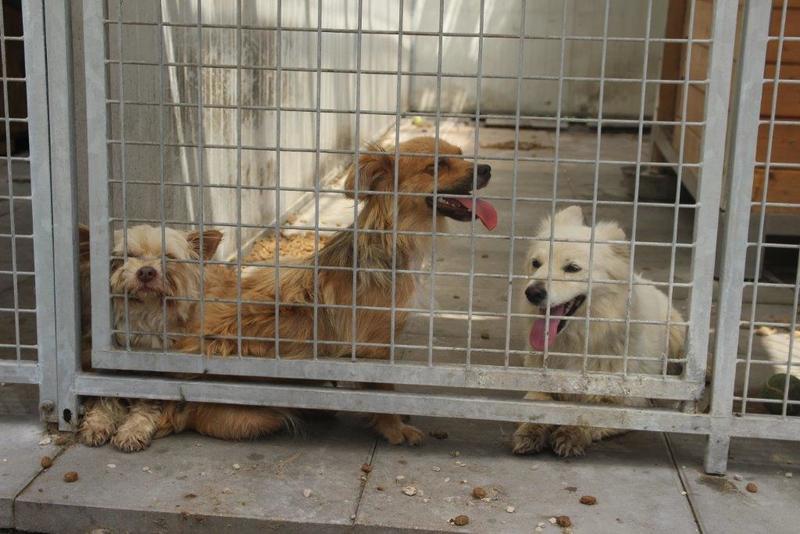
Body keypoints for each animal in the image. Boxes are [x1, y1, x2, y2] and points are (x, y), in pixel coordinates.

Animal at [77, 224, 224, 452]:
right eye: (128, 255)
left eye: (168, 257)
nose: (146, 271)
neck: (144, 315)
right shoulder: (104, 363)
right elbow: (104, 395)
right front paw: (98, 422)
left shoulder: (161, 369)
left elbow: (148, 400)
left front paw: (133, 429)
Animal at [164, 136, 498, 446]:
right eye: (436, 166)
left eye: (461, 155)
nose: (486, 169)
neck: (392, 241)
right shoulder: (373, 346)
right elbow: (382, 389)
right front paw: (393, 429)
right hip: (264, 415)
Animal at [512, 206, 685, 457]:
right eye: (536, 263)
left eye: (572, 268)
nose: (532, 293)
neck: (579, 342)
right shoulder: (536, 383)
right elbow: (536, 407)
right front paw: (531, 432)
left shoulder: (627, 401)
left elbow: (590, 413)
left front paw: (571, 434)